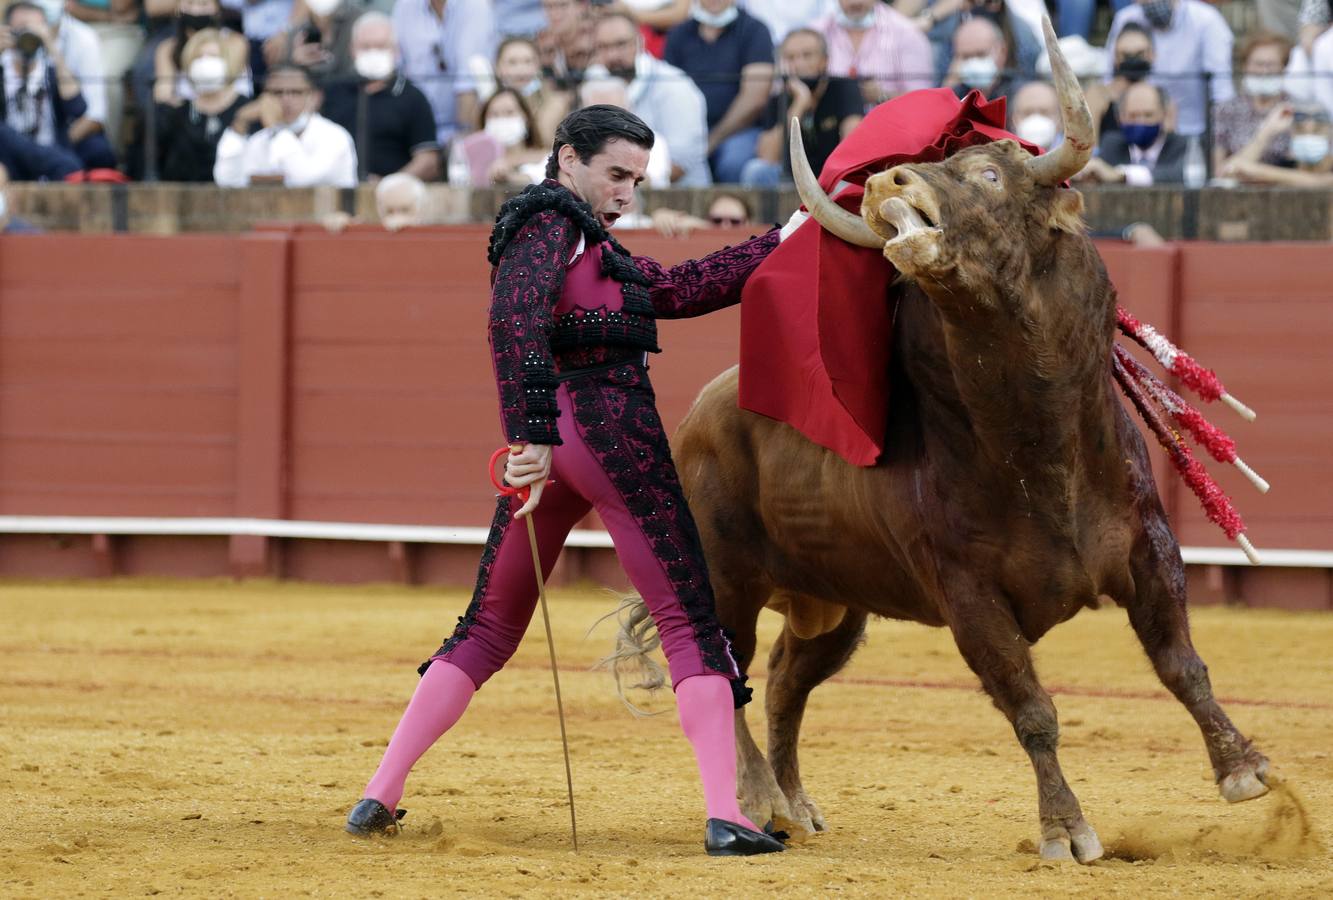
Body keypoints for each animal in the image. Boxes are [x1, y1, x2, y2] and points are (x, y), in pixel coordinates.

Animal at [613, 19, 1269, 864]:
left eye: (989, 174)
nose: (886, 183)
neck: (1037, 443)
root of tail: (696, 412)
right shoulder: (966, 595)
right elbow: (1031, 708)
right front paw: (1065, 831)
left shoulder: (1150, 549)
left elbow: (1181, 664)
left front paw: (1243, 768)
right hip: (725, 578)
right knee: (723, 672)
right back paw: (755, 799)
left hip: (836, 599)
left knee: (788, 677)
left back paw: (795, 803)